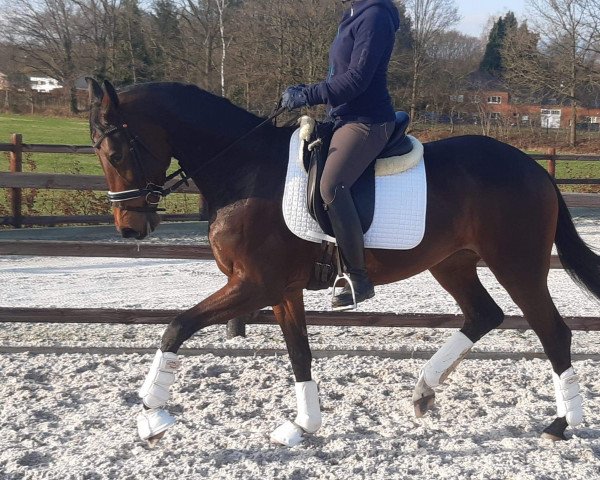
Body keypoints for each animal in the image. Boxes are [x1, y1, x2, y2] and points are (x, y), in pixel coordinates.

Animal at [88, 78, 596, 446]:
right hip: (452, 262)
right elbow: (299, 354)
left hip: (517, 264)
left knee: (552, 331)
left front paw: (152, 414)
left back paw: (560, 423)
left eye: (115, 151)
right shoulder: (282, 290)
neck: (245, 168)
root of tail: (533, 168)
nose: (130, 229)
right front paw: (303, 426)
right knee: (483, 314)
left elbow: (177, 326)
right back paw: (424, 391)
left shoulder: (255, 284)